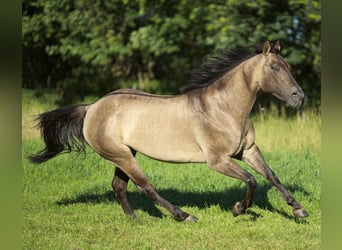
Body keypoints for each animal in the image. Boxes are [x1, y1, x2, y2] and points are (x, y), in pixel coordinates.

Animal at [28, 40, 308, 222]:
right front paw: (239, 208)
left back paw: (134, 218)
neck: (222, 109)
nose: (299, 97)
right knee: (145, 187)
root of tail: (92, 107)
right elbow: (251, 180)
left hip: (125, 154)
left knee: (119, 186)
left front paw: (298, 209)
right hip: (121, 155)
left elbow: (271, 176)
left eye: (289, 67)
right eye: (274, 68)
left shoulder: (248, 151)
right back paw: (184, 215)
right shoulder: (217, 160)